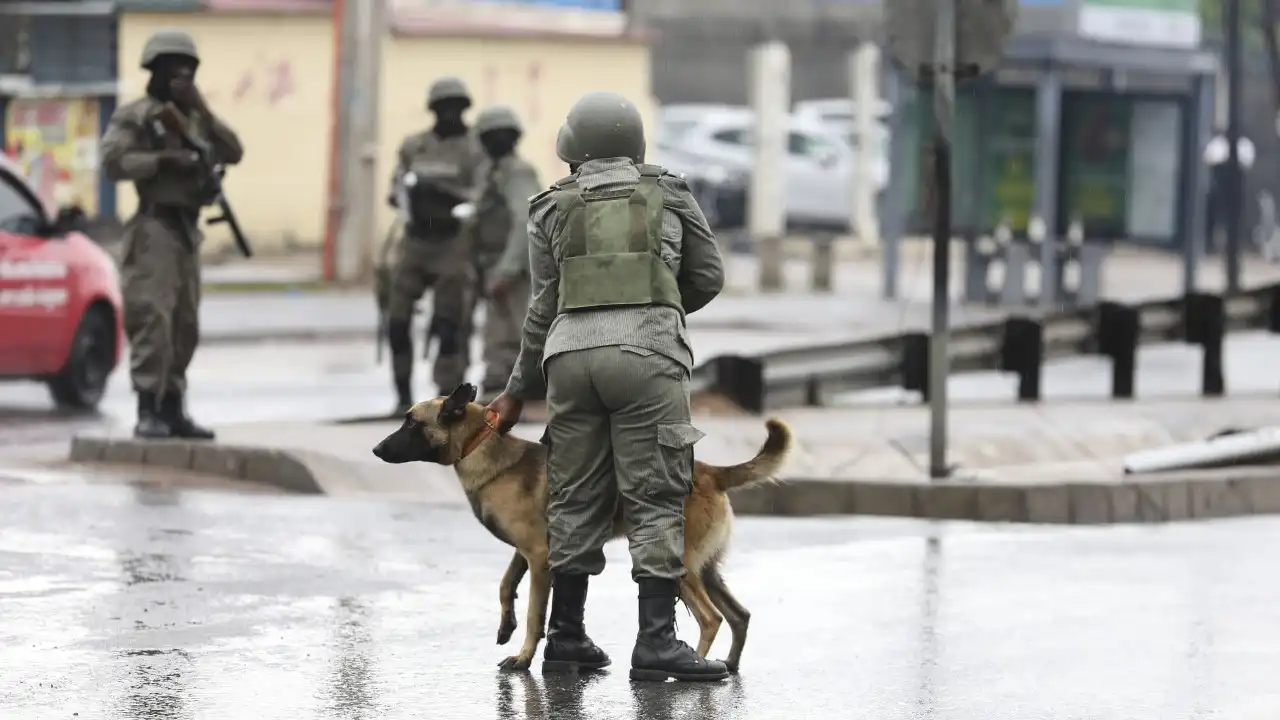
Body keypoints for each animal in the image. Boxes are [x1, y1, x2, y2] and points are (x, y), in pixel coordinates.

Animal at [368, 384, 788, 671]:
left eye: (411, 422)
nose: (375, 450)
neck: (480, 445)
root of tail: (713, 472)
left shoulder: (539, 558)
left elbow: (536, 614)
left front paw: (523, 657)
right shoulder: (527, 552)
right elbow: (505, 584)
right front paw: (506, 624)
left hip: (681, 565)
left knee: (711, 618)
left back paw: (691, 666)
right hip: (707, 570)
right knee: (739, 615)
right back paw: (727, 666)